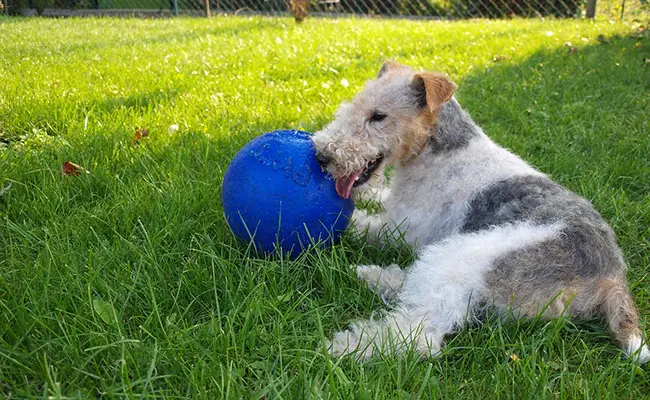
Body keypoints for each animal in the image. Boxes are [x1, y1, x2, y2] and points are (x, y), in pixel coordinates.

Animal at [312, 60, 644, 362]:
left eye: (378, 116)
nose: (322, 156)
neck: (440, 149)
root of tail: (612, 275)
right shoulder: (395, 206)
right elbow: (376, 196)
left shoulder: (402, 229)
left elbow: (357, 222)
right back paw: (372, 276)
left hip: (468, 255)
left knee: (421, 333)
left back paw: (344, 347)